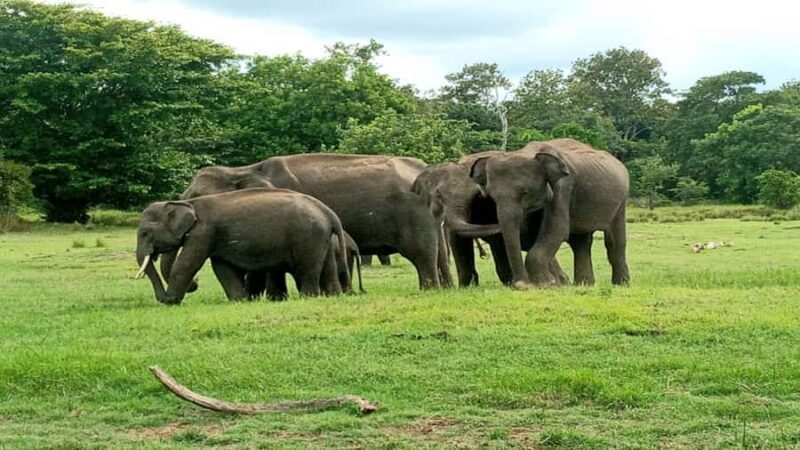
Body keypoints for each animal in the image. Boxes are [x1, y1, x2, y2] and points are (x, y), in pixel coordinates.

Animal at [135, 188, 351, 304]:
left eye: (144, 232)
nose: (196, 283)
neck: (189, 203)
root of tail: (328, 212)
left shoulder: (204, 232)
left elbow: (187, 264)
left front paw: (172, 301)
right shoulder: (215, 237)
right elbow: (222, 267)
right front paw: (239, 301)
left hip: (308, 237)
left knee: (308, 270)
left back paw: (309, 297)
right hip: (322, 238)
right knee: (328, 268)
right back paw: (334, 295)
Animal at [412, 152, 568, 287]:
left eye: (476, 195)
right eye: (438, 194)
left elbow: (497, 240)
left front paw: (510, 283)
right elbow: (458, 241)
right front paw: (466, 287)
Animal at [467, 138, 630, 288]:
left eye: (525, 192)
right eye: (492, 197)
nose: (521, 285)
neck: (529, 152)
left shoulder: (563, 187)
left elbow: (557, 229)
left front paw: (546, 284)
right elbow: (530, 235)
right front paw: (552, 283)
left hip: (621, 202)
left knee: (614, 242)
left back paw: (620, 284)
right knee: (581, 243)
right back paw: (584, 284)